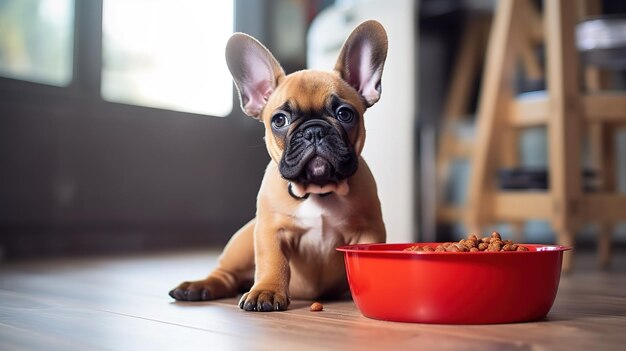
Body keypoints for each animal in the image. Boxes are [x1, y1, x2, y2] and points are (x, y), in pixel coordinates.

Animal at [169, 20, 386, 310]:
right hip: (242, 242)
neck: (318, 191)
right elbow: (274, 261)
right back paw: (198, 286)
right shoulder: (270, 230)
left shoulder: (368, 231)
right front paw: (267, 291)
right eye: (279, 120)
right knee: (225, 274)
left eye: (345, 114)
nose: (314, 130)